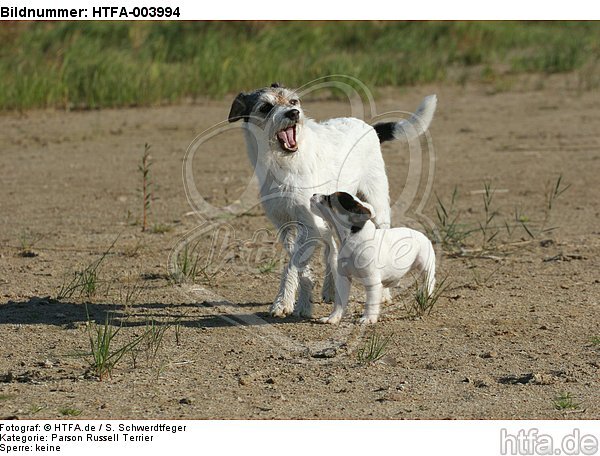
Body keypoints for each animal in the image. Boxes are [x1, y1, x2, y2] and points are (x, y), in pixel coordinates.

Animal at [312, 191, 434, 324]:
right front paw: (333, 317)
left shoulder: (372, 281)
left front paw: (368, 318)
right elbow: (339, 302)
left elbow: (370, 302)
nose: (313, 194)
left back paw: (427, 292)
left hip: (425, 263)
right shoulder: (343, 278)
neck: (352, 237)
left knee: (429, 278)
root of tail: (422, 235)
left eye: (330, 199)